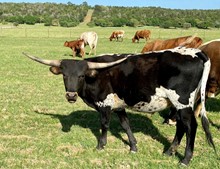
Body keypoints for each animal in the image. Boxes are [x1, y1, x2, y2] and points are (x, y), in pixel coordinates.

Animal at [23, 46, 214, 166]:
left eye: (81, 76)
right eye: (64, 75)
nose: (71, 95)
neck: (97, 75)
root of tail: (196, 52)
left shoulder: (104, 104)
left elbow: (104, 125)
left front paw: (101, 146)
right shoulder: (119, 105)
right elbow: (125, 125)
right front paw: (134, 147)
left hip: (183, 102)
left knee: (190, 127)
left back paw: (185, 159)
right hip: (178, 105)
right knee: (181, 127)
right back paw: (169, 152)